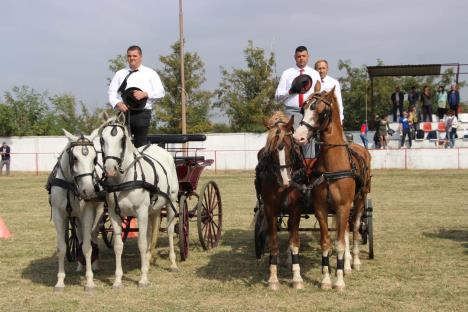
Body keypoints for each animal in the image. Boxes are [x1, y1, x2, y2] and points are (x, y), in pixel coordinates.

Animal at [47, 128, 104, 292]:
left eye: (94, 158)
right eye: (75, 158)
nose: (89, 191)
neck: (71, 186)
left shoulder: (87, 215)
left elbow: (87, 247)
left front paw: (89, 281)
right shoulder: (59, 215)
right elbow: (62, 248)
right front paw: (60, 282)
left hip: (97, 213)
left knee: (93, 236)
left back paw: (94, 264)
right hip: (76, 219)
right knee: (79, 236)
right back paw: (80, 265)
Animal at [99, 112, 179, 288]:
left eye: (122, 139)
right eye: (102, 139)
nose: (110, 169)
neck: (125, 179)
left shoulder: (141, 212)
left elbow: (141, 244)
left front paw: (143, 279)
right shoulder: (114, 214)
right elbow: (118, 246)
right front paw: (118, 280)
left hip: (172, 202)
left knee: (170, 231)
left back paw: (173, 263)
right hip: (152, 210)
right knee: (150, 233)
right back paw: (148, 262)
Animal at [254, 111, 308, 290]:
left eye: (291, 147)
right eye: (271, 151)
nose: (286, 180)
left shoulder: (295, 209)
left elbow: (294, 241)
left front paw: (297, 277)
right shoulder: (270, 209)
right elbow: (273, 242)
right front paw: (273, 278)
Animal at [292, 89, 372, 290]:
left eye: (321, 111)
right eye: (303, 109)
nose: (298, 137)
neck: (332, 165)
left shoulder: (343, 206)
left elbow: (341, 243)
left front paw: (340, 280)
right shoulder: (321, 207)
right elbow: (327, 242)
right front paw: (327, 279)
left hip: (360, 201)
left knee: (355, 228)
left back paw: (354, 262)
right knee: (344, 232)